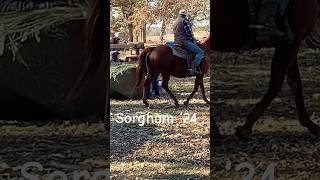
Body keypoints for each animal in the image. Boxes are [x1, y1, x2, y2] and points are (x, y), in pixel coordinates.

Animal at [212, 0, 320, 139]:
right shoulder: (290, 45)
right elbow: (276, 86)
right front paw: (246, 127)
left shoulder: (290, 44)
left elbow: (296, 84)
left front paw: (310, 124)